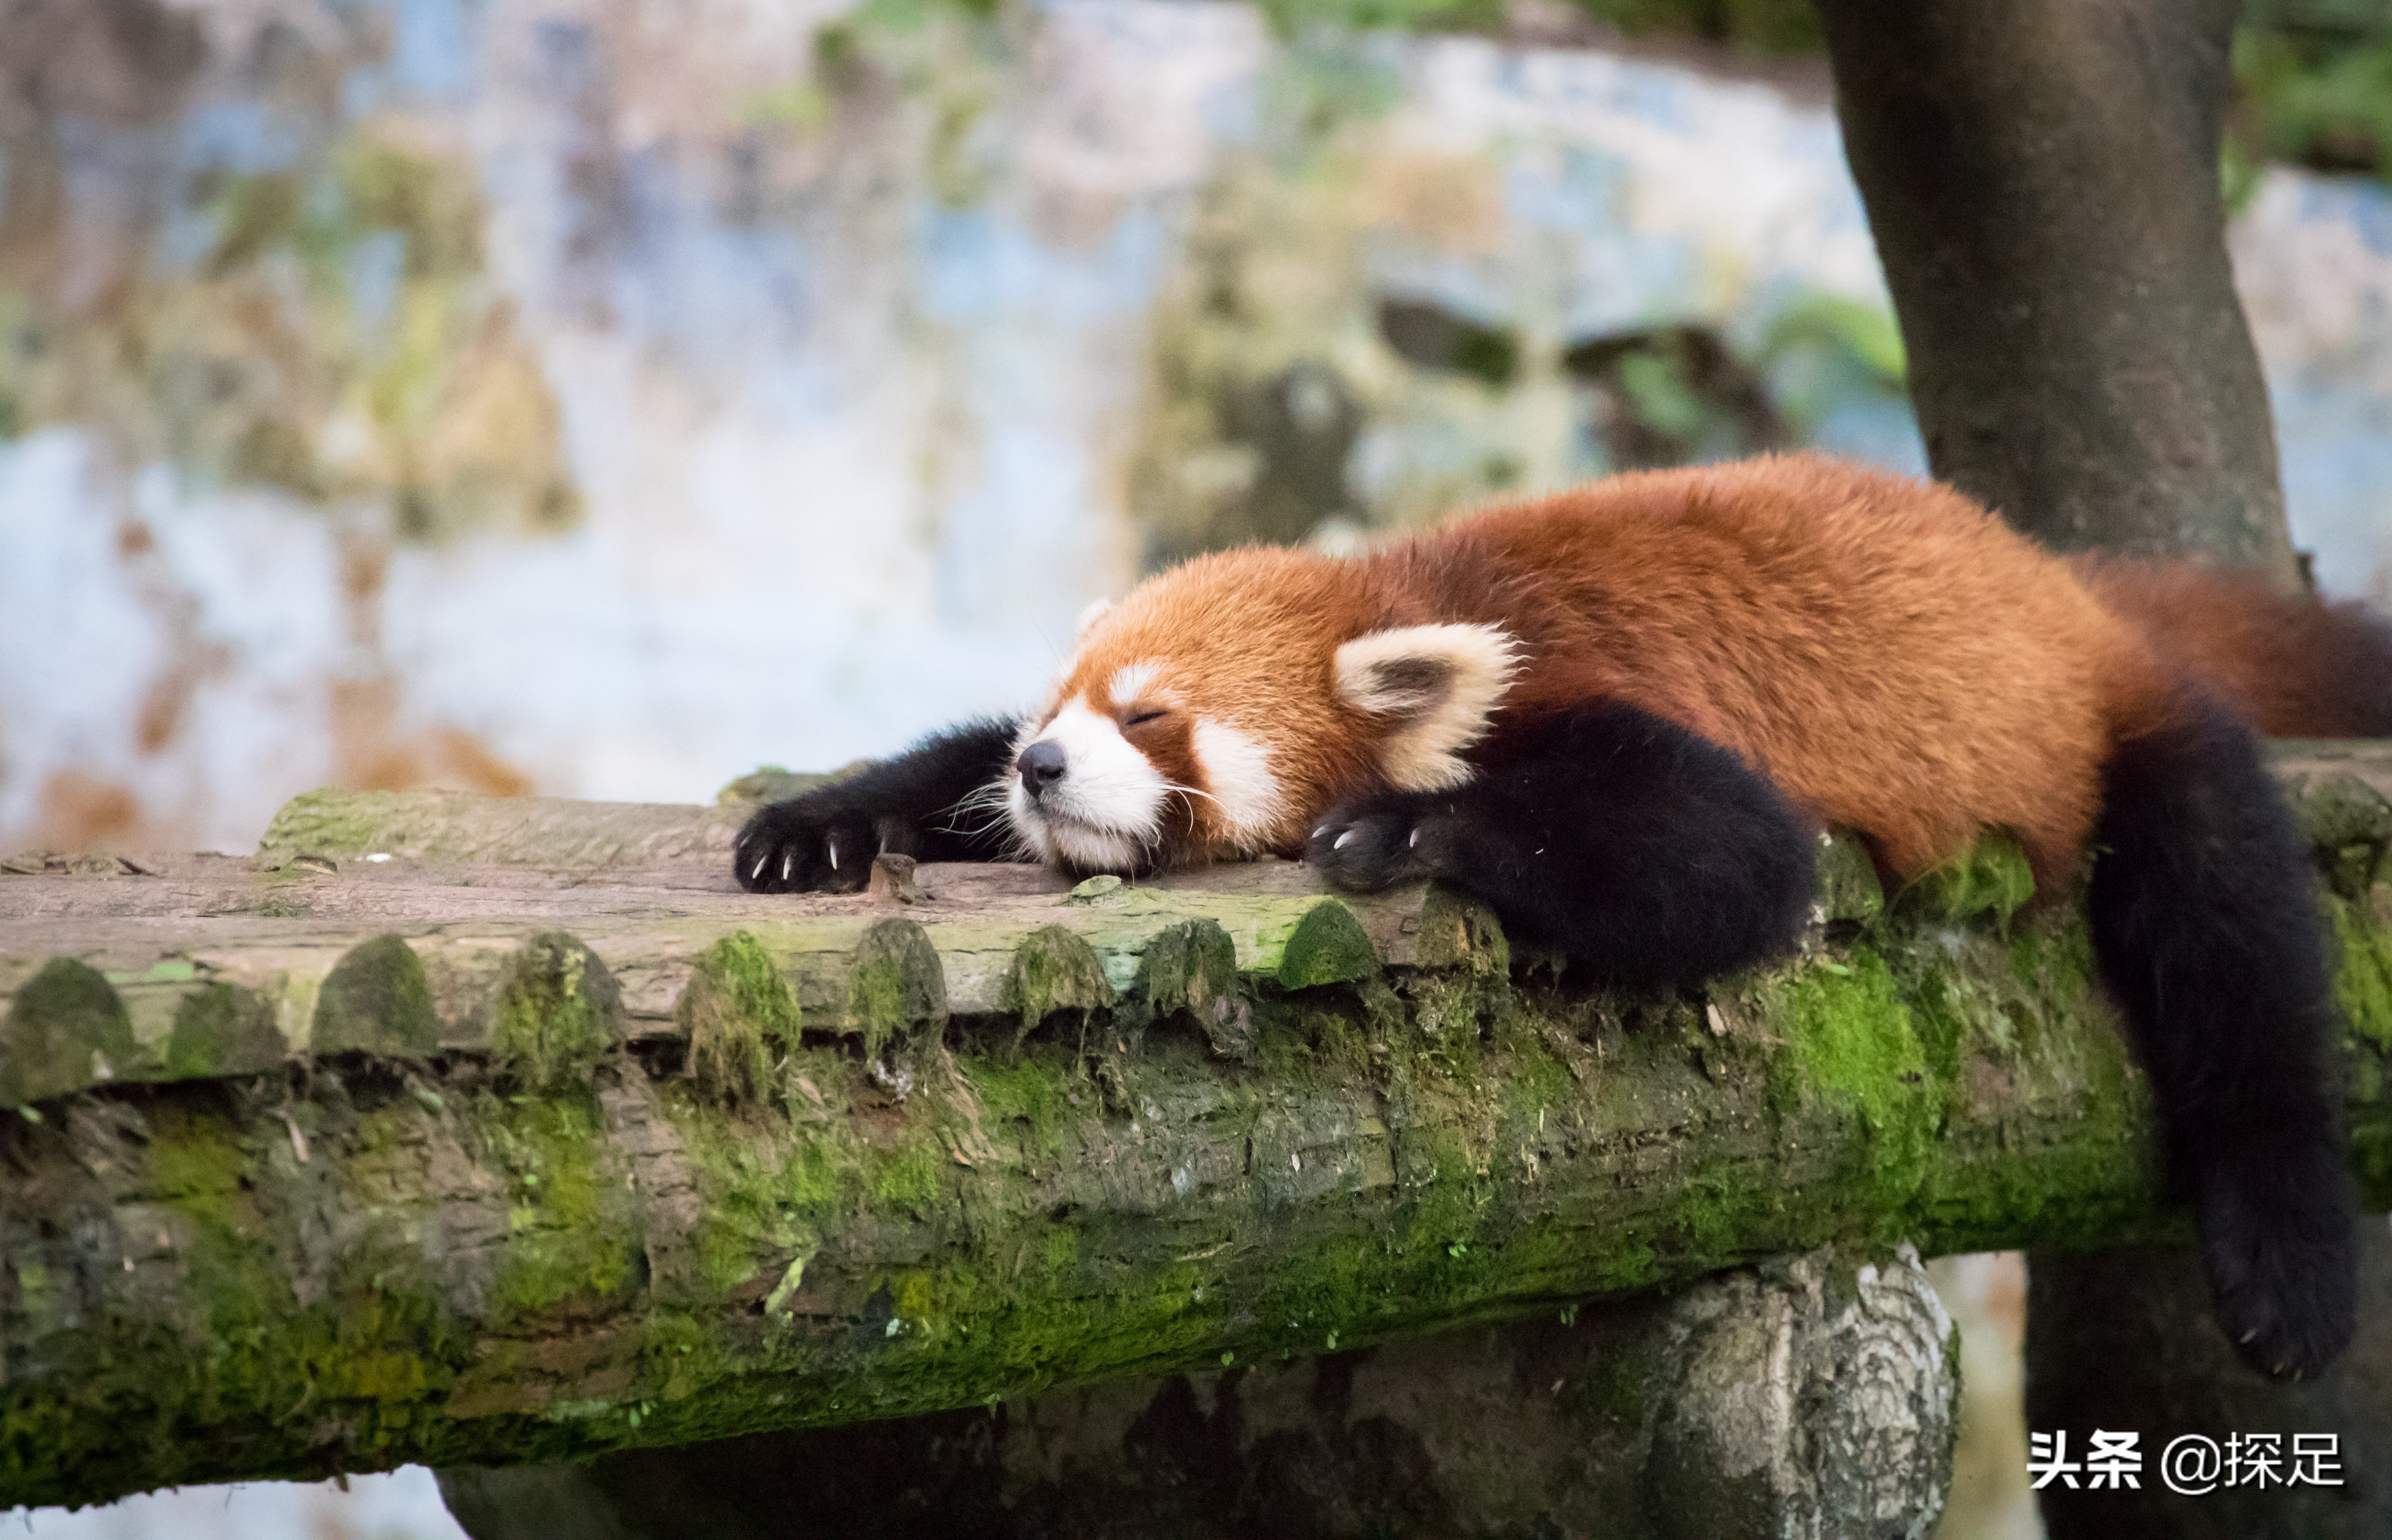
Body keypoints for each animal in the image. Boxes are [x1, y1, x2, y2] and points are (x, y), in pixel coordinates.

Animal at [737, 452, 2382, 1377]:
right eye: (1060, 707)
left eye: (1150, 716)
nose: (1044, 763)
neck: (1413, 593)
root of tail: (2052, 580)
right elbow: (929, 768)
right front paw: (821, 820)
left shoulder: (1590, 697)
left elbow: (1738, 860)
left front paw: (1406, 825)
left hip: (2139, 741)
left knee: (2234, 936)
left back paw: (2287, 1245)